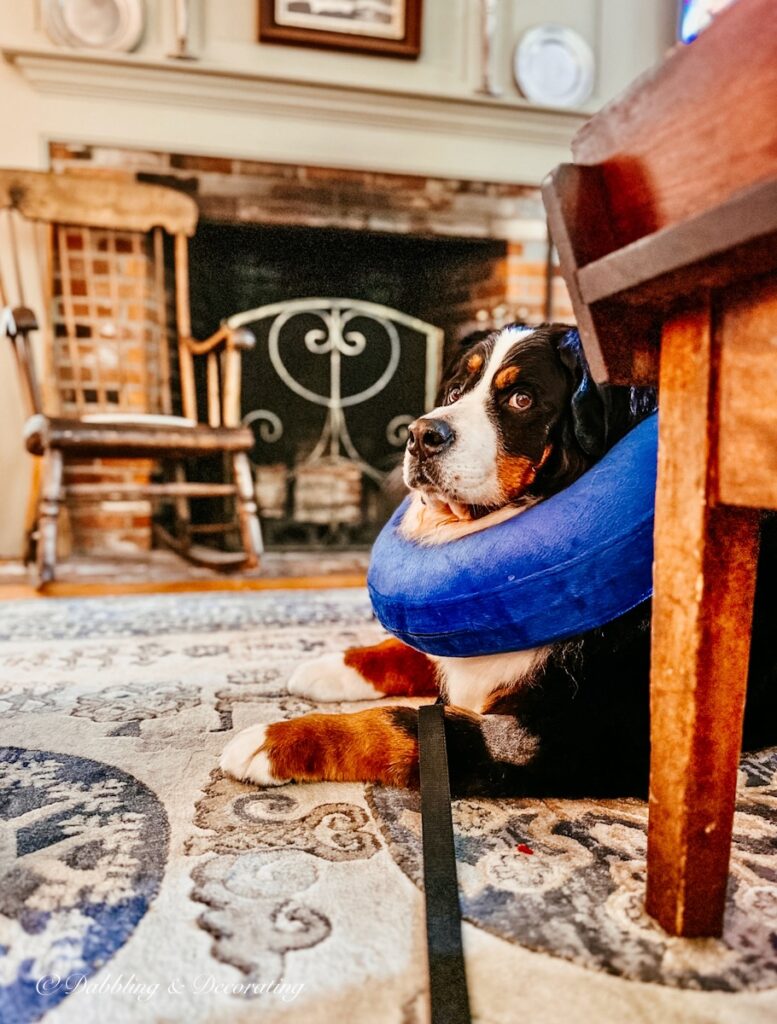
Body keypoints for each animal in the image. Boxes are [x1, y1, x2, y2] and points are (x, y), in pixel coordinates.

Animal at [219, 323, 777, 794]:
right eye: (454, 394)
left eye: (520, 398)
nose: (421, 434)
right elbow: (411, 651)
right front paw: (332, 666)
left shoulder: (583, 737)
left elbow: (407, 723)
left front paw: (276, 740)